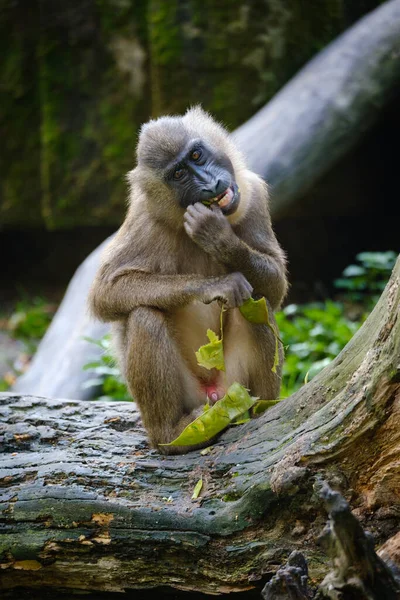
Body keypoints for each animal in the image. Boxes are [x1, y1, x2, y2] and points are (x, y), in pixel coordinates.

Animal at [88, 108, 286, 454]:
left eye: (196, 155)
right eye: (179, 174)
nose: (210, 184)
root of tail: (215, 394)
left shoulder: (253, 193)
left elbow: (274, 287)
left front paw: (220, 238)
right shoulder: (145, 221)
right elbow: (105, 293)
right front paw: (213, 285)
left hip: (233, 380)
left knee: (255, 306)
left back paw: (261, 410)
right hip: (192, 397)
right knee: (145, 314)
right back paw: (171, 435)